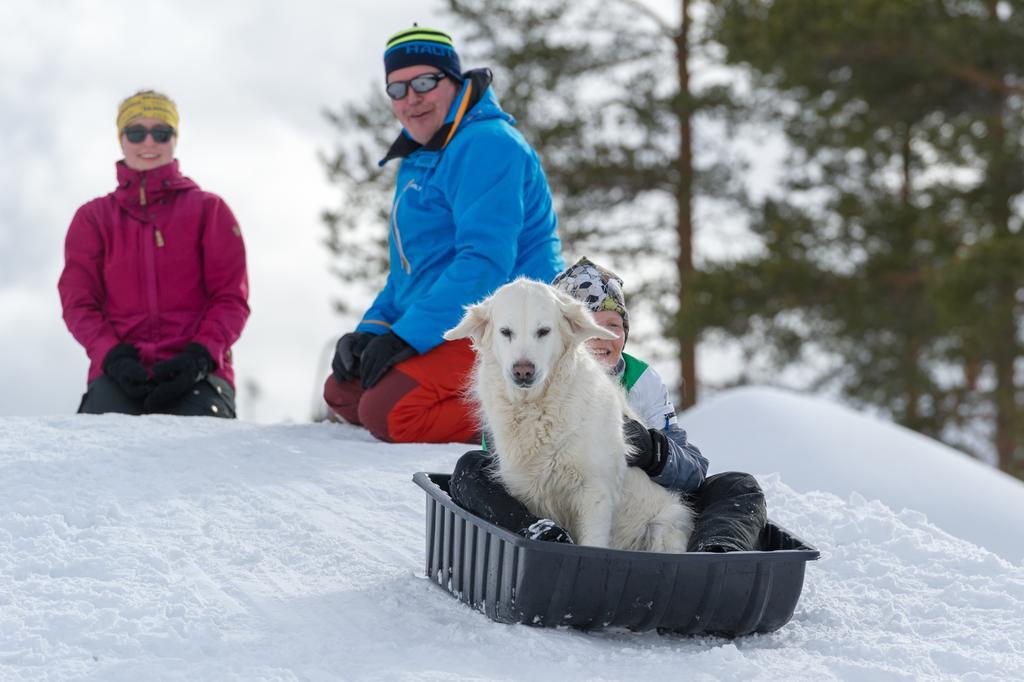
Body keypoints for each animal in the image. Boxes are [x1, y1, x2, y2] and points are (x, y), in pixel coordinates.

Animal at [444, 278, 692, 548]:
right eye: (506, 332)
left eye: (544, 331)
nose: (523, 371)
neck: (537, 408)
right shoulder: (527, 489)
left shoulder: (595, 492)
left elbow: (593, 543)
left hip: (664, 526)